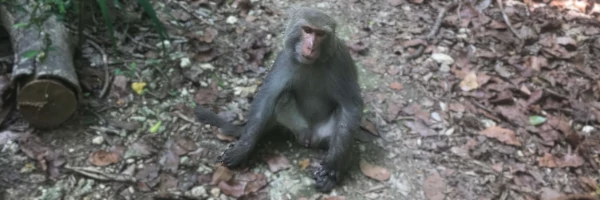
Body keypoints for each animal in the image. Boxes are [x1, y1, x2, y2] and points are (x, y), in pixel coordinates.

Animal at [197, 7, 364, 193]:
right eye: (307, 30)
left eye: (320, 34)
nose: (311, 46)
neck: (312, 64)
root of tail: (310, 136)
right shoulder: (284, 59)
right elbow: (268, 96)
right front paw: (243, 148)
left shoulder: (341, 61)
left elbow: (350, 106)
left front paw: (332, 167)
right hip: (297, 126)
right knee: (284, 97)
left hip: (324, 134)